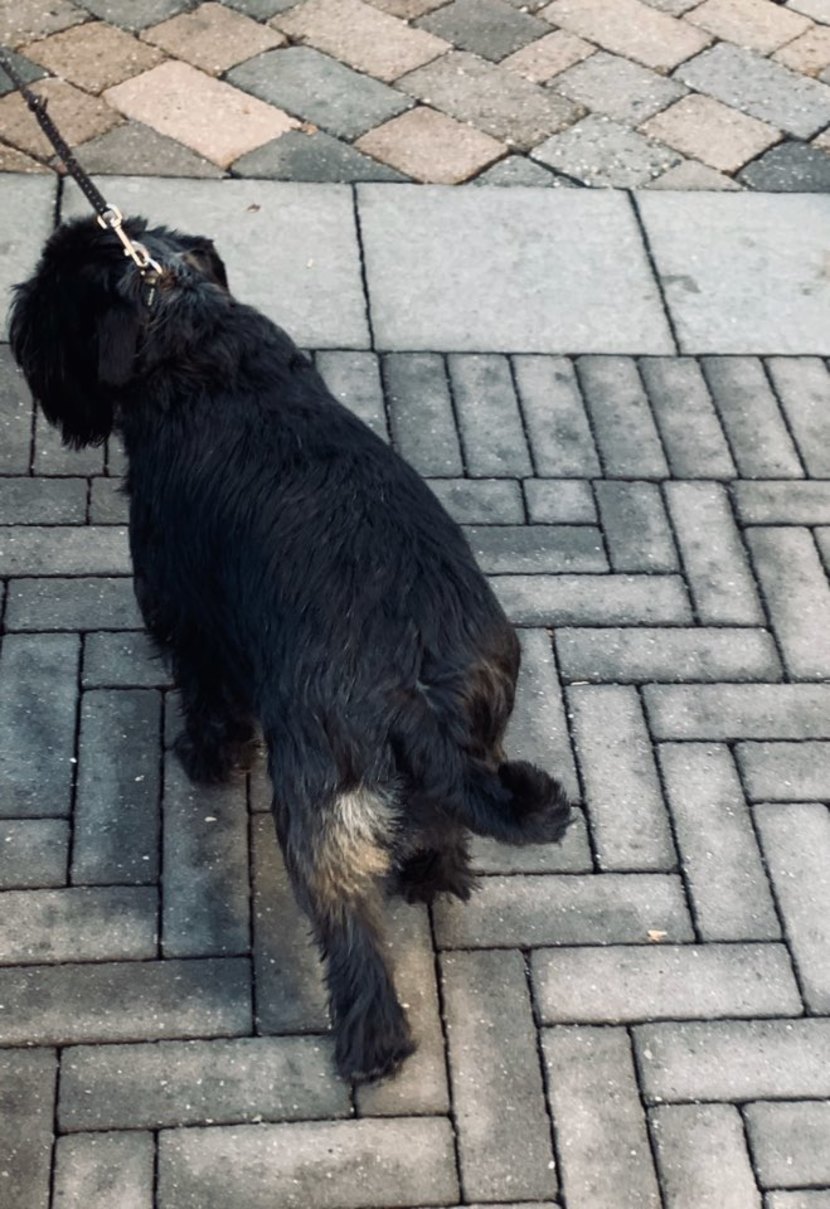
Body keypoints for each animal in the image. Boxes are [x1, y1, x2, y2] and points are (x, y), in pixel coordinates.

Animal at [10, 216, 573, 1082]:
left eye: (47, 298)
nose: (14, 332)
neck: (188, 333)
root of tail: (414, 696)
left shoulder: (188, 616)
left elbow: (210, 702)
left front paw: (205, 759)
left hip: (315, 804)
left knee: (352, 935)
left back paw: (371, 1045)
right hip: (461, 756)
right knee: (442, 828)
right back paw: (429, 876)